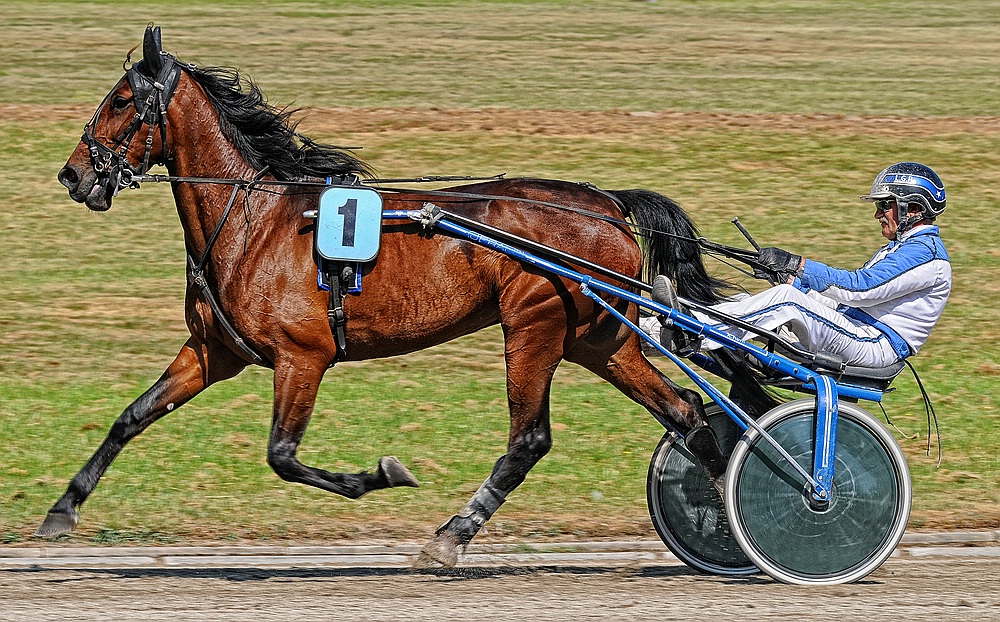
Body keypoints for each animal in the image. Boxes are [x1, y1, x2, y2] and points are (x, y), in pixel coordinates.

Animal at [41, 25, 744, 572]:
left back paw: (450, 538)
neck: (253, 223)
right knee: (685, 411)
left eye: (122, 99)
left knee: (529, 439)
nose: (74, 174)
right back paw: (727, 521)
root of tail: (608, 203)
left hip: (534, 327)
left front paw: (379, 475)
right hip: (600, 337)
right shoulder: (216, 351)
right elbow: (132, 416)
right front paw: (61, 510)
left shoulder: (304, 356)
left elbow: (282, 456)